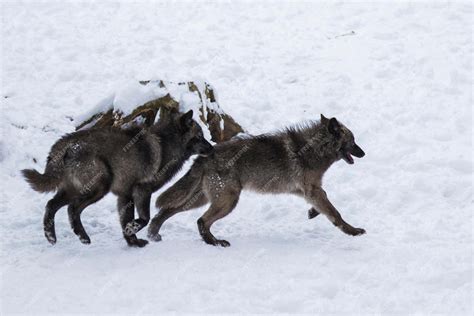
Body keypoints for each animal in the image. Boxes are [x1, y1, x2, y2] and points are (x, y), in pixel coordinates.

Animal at [23, 110, 212, 247]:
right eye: (200, 136)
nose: (212, 147)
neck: (167, 145)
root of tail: (67, 143)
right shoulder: (142, 190)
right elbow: (144, 218)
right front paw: (132, 232)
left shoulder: (124, 196)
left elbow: (126, 220)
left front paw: (133, 242)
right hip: (100, 187)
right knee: (72, 209)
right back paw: (83, 237)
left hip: (73, 190)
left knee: (51, 205)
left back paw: (51, 237)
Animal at [150, 114, 364, 247]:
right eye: (353, 141)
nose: (363, 153)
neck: (315, 150)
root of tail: (205, 156)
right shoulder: (312, 190)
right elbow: (335, 212)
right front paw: (353, 231)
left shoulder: (306, 191)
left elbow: (323, 207)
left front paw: (312, 212)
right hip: (227, 201)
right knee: (201, 221)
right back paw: (216, 243)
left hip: (201, 199)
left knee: (165, 211)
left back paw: (153, 234)